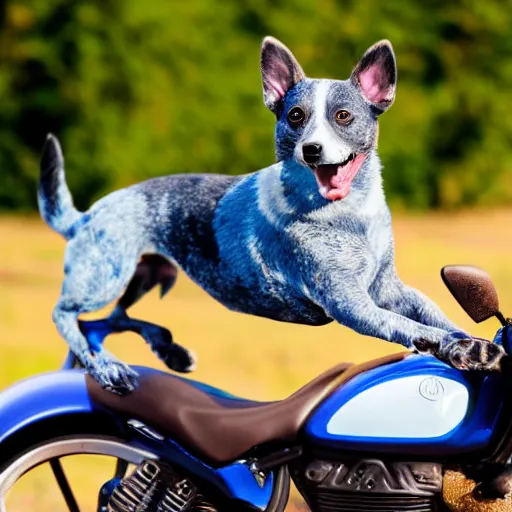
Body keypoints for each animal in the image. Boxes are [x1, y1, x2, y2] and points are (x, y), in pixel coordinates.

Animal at [38, 37, 506, 396]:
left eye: (343, 116)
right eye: (295, 116)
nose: (311, 150)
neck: (348, 217)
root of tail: (86, 216)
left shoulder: (388, 287)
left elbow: (434, 314)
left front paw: (471, 338)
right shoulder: (350, 303)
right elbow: (407, 326)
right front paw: (466, 350)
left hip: (147, 275)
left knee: (105, 322)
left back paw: (160, 350)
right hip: (104, 275)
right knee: (66, 315)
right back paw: (109, 369)